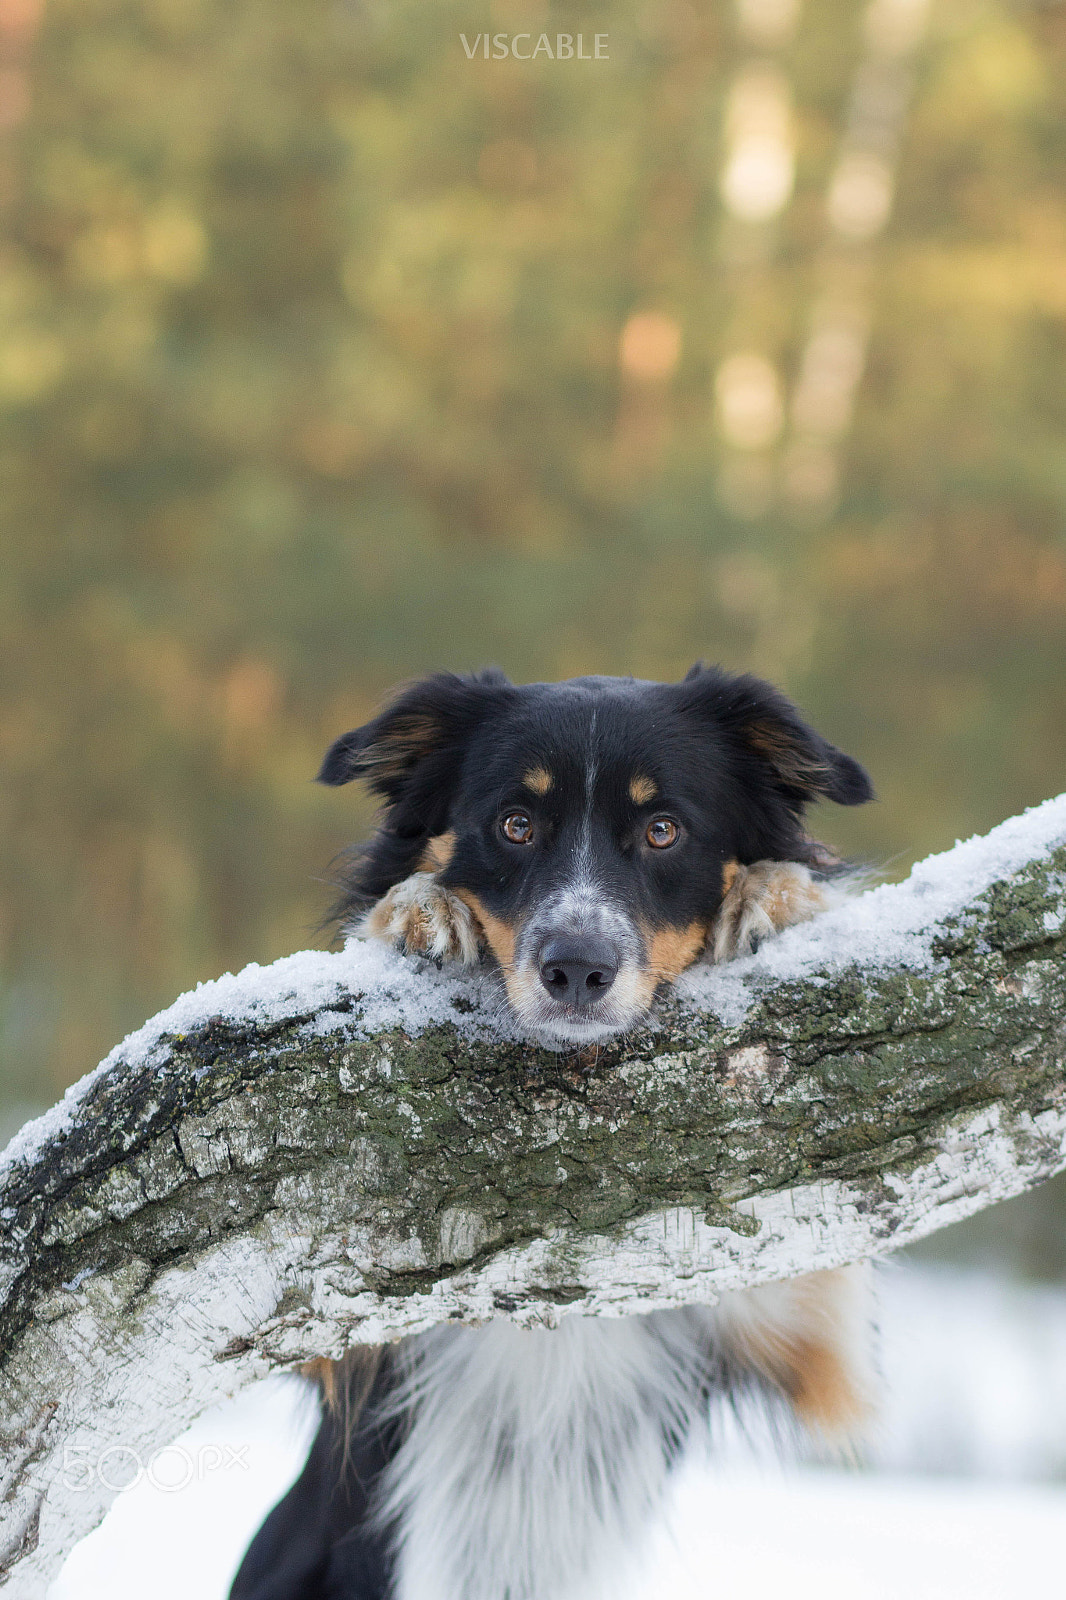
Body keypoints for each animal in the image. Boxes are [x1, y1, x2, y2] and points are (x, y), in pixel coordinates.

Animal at [232, 662, 870, 1600]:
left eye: (664, 830)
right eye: (515, 823)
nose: (574, 969)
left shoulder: (796, 1327)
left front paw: (777, 894)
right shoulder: (342, 1353)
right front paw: (421, 909)